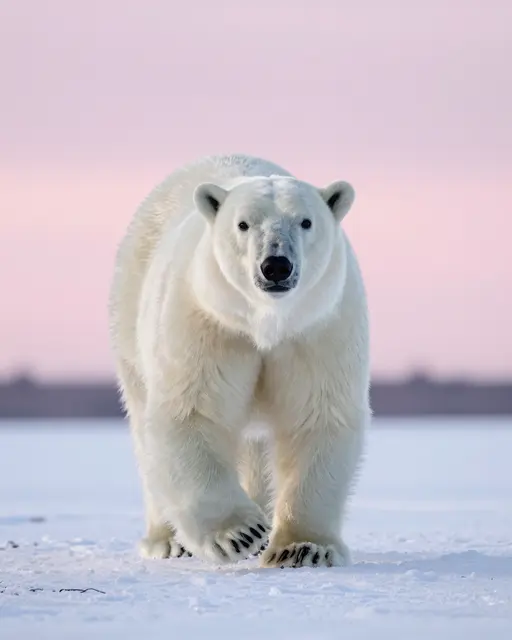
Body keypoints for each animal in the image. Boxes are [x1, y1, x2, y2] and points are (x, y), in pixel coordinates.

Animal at [108, 153, 371, 568]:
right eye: (243, 224)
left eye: (306, 221)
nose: (276, 265)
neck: (265, 323)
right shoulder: (209, 323)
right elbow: (192, 411)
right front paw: (239, 534)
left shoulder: (317, 329)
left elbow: (317, 416)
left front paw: (304, 548)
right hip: (131, 315)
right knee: (145, 429)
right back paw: (168, 541)